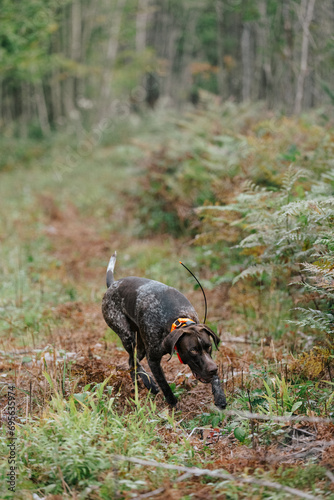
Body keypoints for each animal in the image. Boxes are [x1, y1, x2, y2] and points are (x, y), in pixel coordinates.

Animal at [102, 252, 227, 408]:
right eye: (193, 350)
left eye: (209, 347)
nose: (213, 369)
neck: (177, 320)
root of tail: (113, 285)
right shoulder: (153, 360)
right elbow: (164, 383)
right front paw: (172, 402)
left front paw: (219, 395)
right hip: (127, 336)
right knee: (134, 361)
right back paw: (149, 383)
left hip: (140, 346)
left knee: (131, 361)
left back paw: (138, 385)